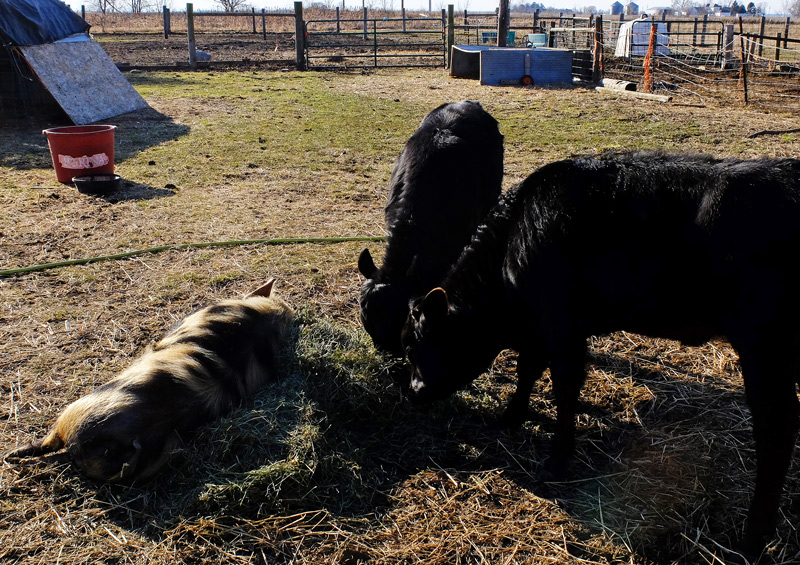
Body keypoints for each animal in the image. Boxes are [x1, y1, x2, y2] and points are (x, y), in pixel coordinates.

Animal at [400, 151, 800, 560]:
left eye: (415, 344)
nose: (413, 390)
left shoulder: (561, 326)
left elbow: (563, 387)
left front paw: (557, 459)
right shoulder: (538, 327)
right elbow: (527, 369)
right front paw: (512, 415)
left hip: (764, 347)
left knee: (776, 430)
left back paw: (752, 539)